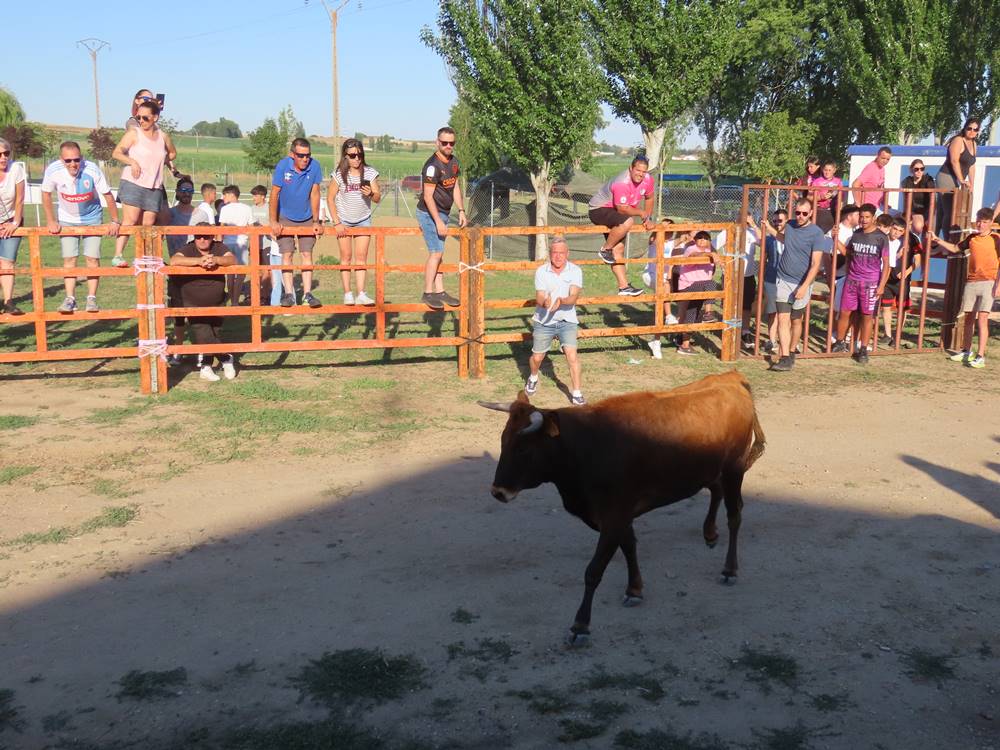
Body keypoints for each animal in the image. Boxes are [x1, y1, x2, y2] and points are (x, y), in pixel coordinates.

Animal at [480, 370, 760, 648]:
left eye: (524, 449)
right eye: (503, 441)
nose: (498, 492)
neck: (584, 448)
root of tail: (733, 378)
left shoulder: (614, 517)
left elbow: (594, 570)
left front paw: (581, 626)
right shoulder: (620, 515)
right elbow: (629, 547)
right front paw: (634, 590)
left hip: (734, 468)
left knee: (735, 515)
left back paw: (729, 569)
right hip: (711, 468)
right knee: (716, 490)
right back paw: (710, 534)